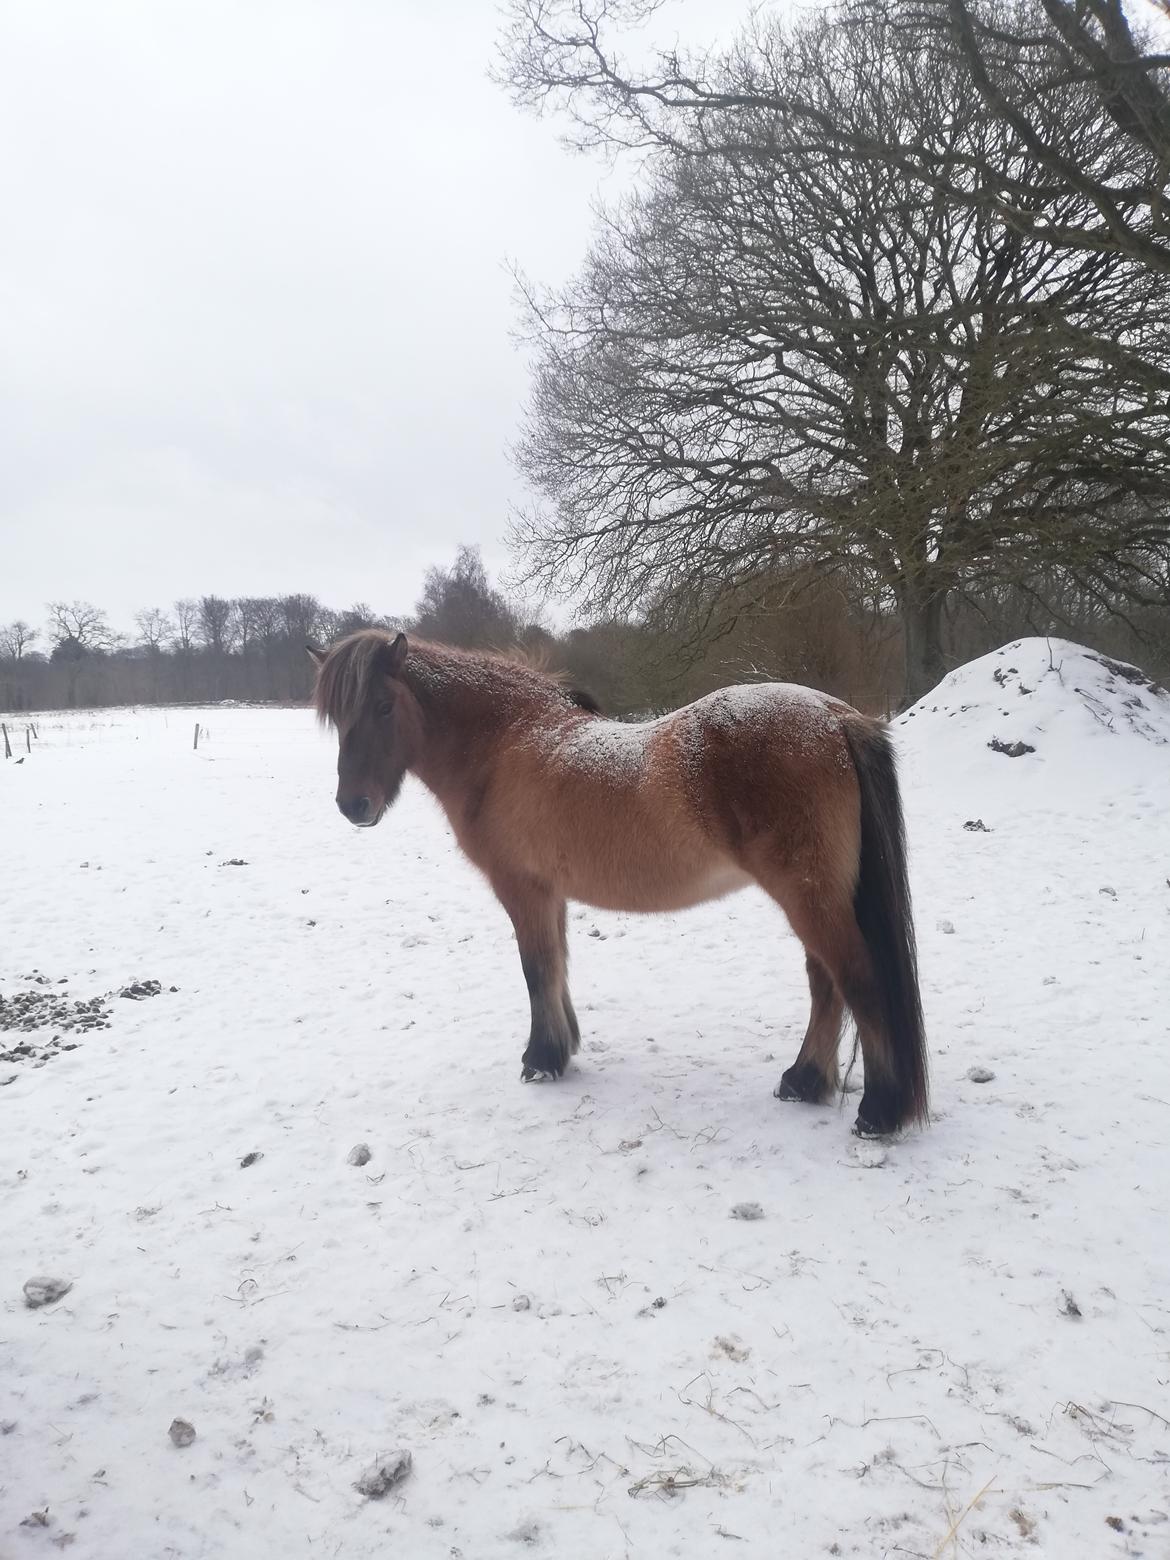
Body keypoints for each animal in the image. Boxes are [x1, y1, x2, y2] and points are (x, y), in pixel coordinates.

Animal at [307, 630, 929, 1135]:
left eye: (383, 705)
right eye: (337, 718)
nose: (352, 806)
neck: (504, 745)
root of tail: (838, 716)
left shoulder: (522, 890)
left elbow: (536, 970)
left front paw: (540, 1060)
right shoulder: (550, 893)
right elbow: (555, 968)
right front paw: (562, 1050)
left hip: (808, 897)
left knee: (858, 981)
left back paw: (877, 1112)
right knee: (826, 985)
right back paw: (803, 1081)